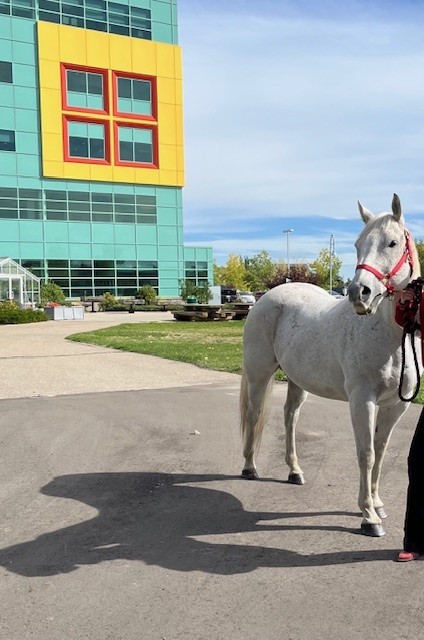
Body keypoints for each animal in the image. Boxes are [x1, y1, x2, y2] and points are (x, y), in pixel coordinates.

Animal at [240, 194, 422, 536]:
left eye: (392, 243)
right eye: (358, 243)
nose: (358, 293)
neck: (391, 336)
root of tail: (267, 297)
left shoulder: (396, 405)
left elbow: (380, 451)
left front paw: (377, 504)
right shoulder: (362, 400)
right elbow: (366, 453)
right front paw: (368, 517)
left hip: (297, 381)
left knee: (290, 417)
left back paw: (294, 471)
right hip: (259, 375)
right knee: (255, 416)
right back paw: (249, 467)